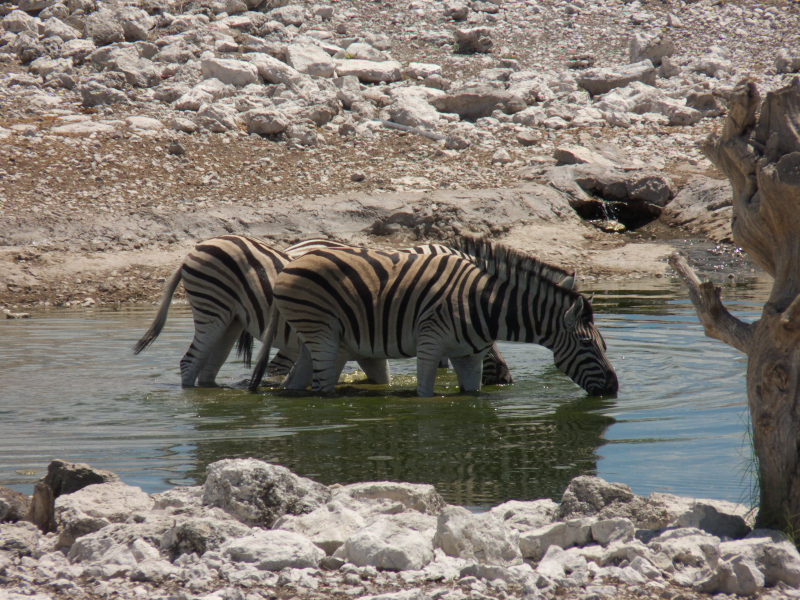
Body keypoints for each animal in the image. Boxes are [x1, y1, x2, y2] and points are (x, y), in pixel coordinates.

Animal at [248, 236, 618, 397]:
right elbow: (425, 397)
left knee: (294, 384)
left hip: (317, 338)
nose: (614, 389)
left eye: (605, 346)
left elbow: (472, 396)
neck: (481, 304)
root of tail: (292, 262)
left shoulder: (469, 357)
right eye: (588, 346)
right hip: (322, 335)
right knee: (320, 389)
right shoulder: (429, 344)